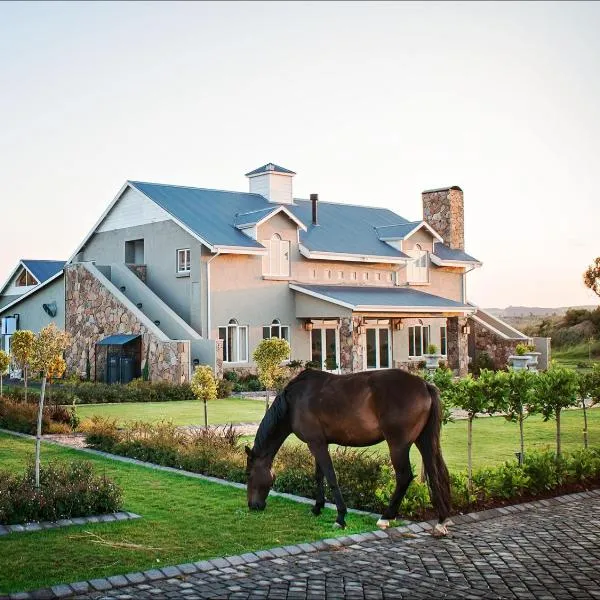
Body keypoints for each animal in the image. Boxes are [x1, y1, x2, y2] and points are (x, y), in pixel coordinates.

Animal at [246, 368, 452, 536]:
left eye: (248, 474)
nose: (253, 505)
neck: (294, 401)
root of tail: (424, 385)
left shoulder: (317, 444)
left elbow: (331, 477)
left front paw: (340, 518)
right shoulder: (318, 443)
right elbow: (319, 475)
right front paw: (317, 508)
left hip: (398, 445)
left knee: (404, 477)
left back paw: (386, 517)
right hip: (423, 440)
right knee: (434, 473)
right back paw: (441, 520)